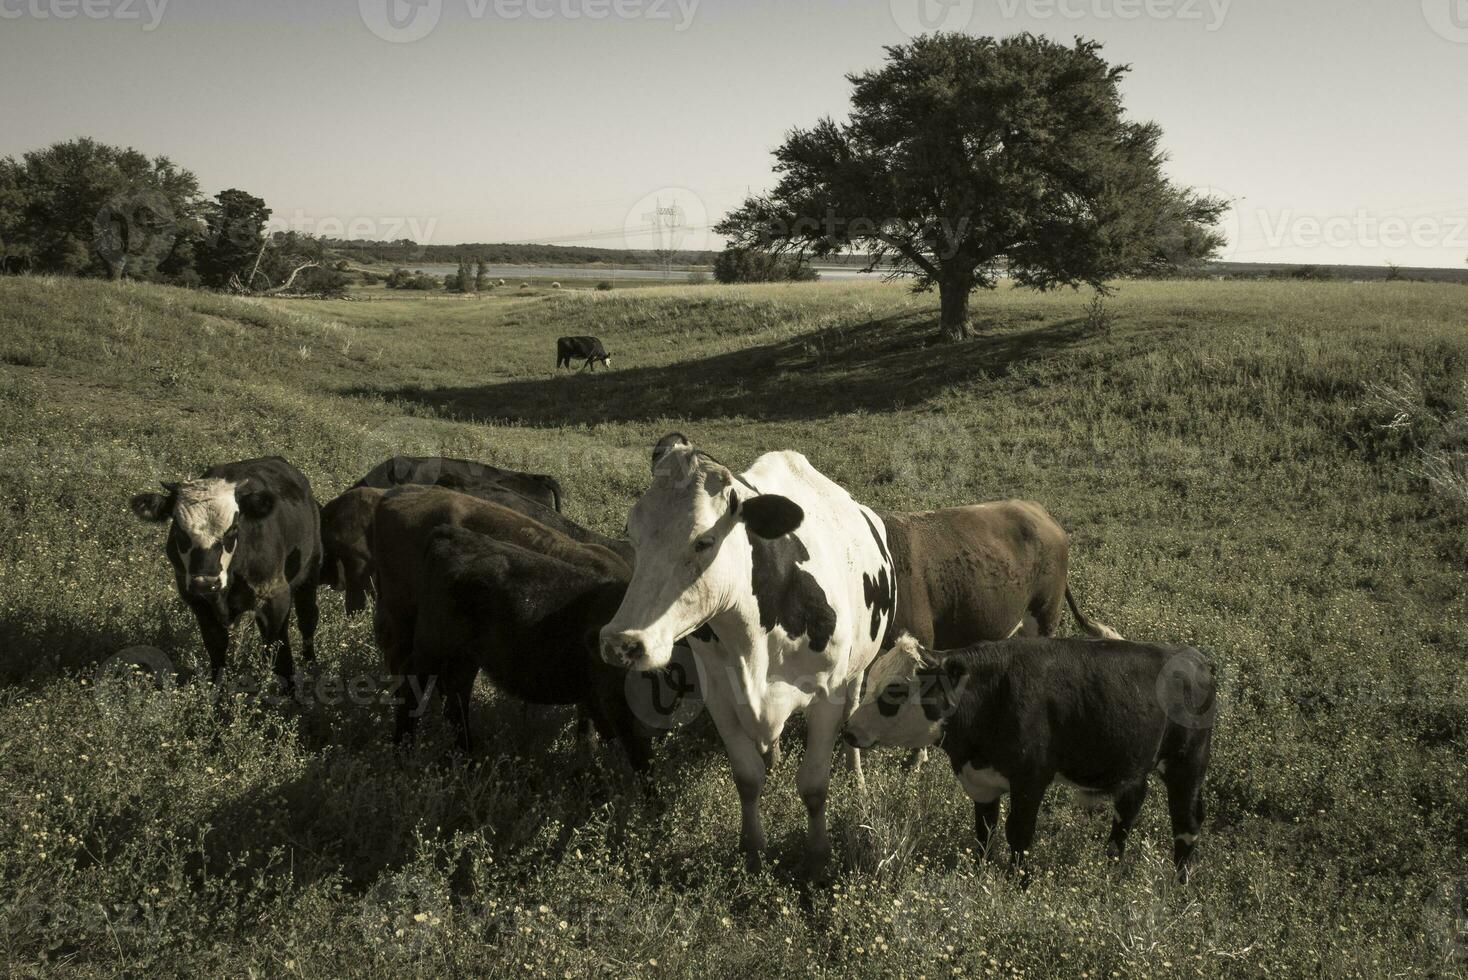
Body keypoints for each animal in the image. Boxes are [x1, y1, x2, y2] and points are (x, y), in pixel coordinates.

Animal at [130, 454, 322, 689]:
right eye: (178, 530)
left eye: (233, 529)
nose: (205, 582)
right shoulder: (199, 603)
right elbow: (217, 647)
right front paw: (217, 689)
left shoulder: (276, 596)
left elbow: (280, 652)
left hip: (309, 575)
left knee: (307, 620)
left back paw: (311, 665)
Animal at [402, 525, 654, 768]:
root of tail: (454, 534)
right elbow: (641, 760)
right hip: (431, 646)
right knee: (413, 689)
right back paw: (403, 752)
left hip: (464, 656)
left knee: (457, 698)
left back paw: (466, 757)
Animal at [596, 431, 892, 874]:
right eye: (632, 533)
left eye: (704, 540)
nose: (621, 642)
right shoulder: (719, 695)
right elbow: (748, 778)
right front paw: (752, 850)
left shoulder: (827, 694)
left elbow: (814, 785)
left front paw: (818, 859)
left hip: (859, 668)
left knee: (854, 714)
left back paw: (855, 777)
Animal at [845, 630, 1209, 886]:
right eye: (871, 680)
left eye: (895, 691)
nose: (850, 731)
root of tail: (1194, 656)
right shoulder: (981, 781)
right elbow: (985, 831)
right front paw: (980, 875)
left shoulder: (1030, 780)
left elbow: (1018, 833)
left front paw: (1018, 886)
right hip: (1133, 765)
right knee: (1128, 808)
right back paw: (1112, 867)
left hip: (1187, 763)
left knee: (1186, 825)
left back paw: (1178, 891)